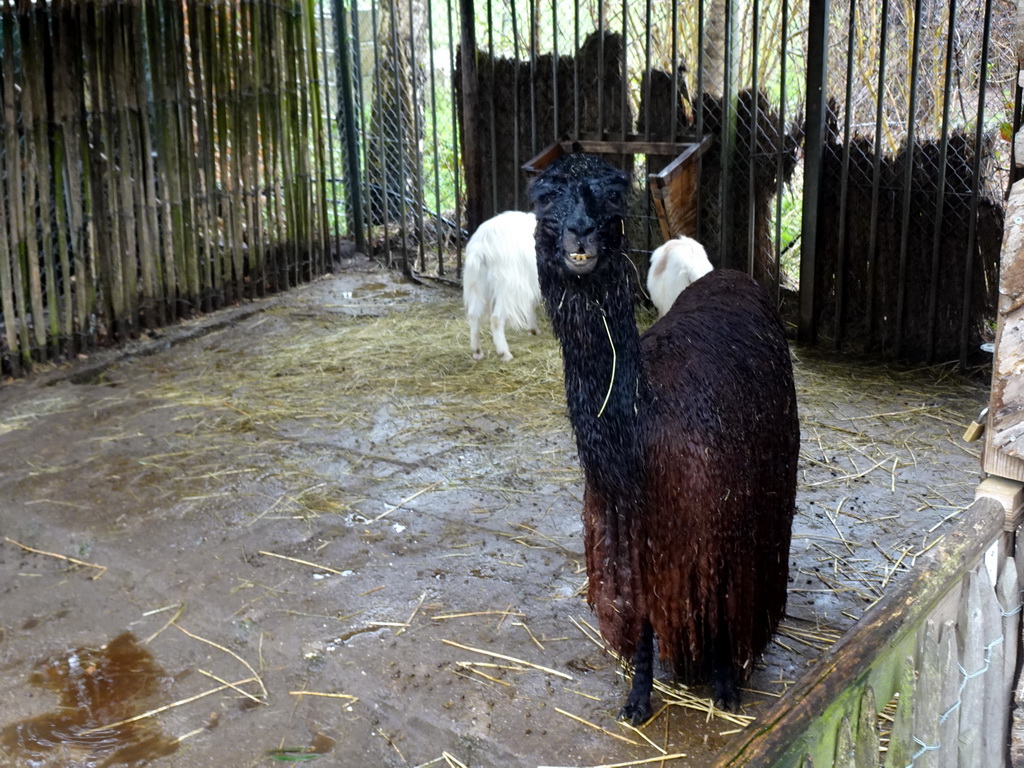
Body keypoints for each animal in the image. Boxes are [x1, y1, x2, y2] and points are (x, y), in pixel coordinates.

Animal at [466, 210, 544, 360]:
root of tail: (482, 246)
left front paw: (534, 329)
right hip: (507, 286)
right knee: (496, 318)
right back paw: (504, 353)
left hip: (477, 284)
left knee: (473, 315)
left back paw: (477, 351)